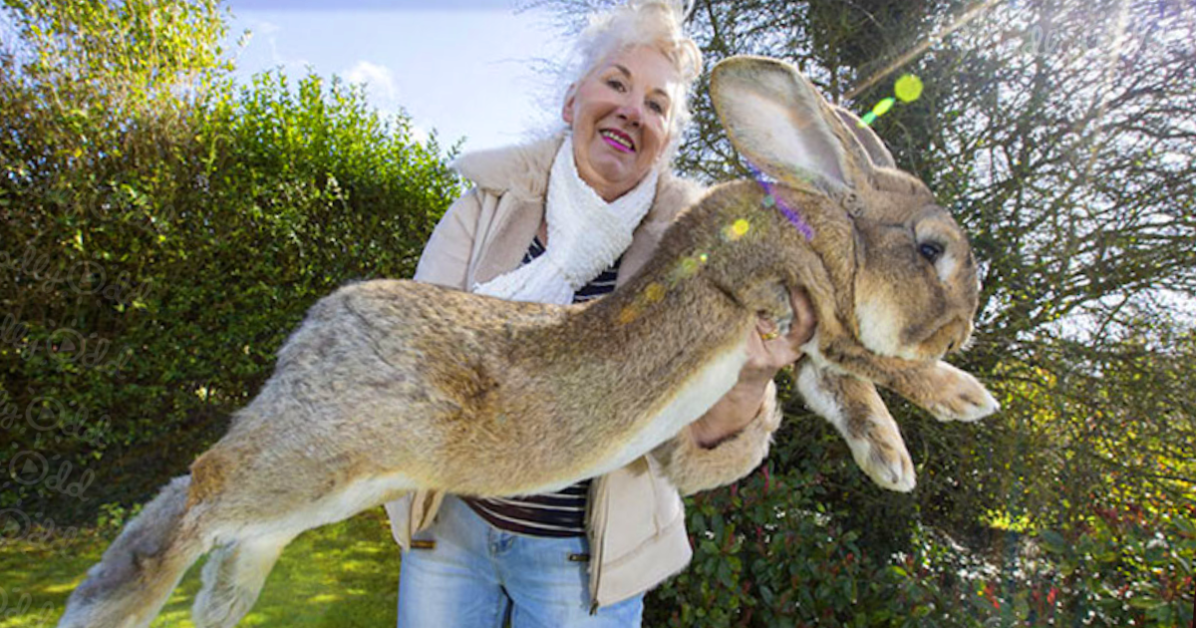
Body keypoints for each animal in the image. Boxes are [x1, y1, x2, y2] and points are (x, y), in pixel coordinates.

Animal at [58, 56, 999, 626]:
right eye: (932, 250)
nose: (967, 325)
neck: (822, 224)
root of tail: (312, 334)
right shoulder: (785, 298)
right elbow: (870, 359)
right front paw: (963, 397)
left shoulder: (801, 344)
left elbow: (845, 389)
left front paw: (891, 463)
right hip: (319, 454)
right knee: (202, 491)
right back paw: (128, 602)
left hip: (330, 483)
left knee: (218, 513)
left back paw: (205, 602)